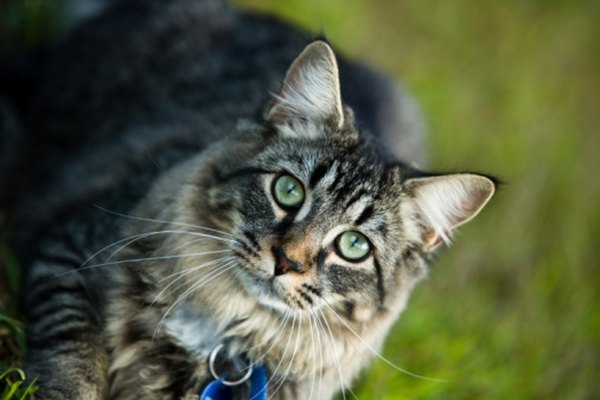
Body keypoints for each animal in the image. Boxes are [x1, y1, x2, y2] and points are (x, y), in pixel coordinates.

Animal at [0, 0, 494, 400]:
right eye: (288, 191)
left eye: (354, 246)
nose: (286, 261)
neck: (226, 334)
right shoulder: (68, 245)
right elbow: (75, 350)